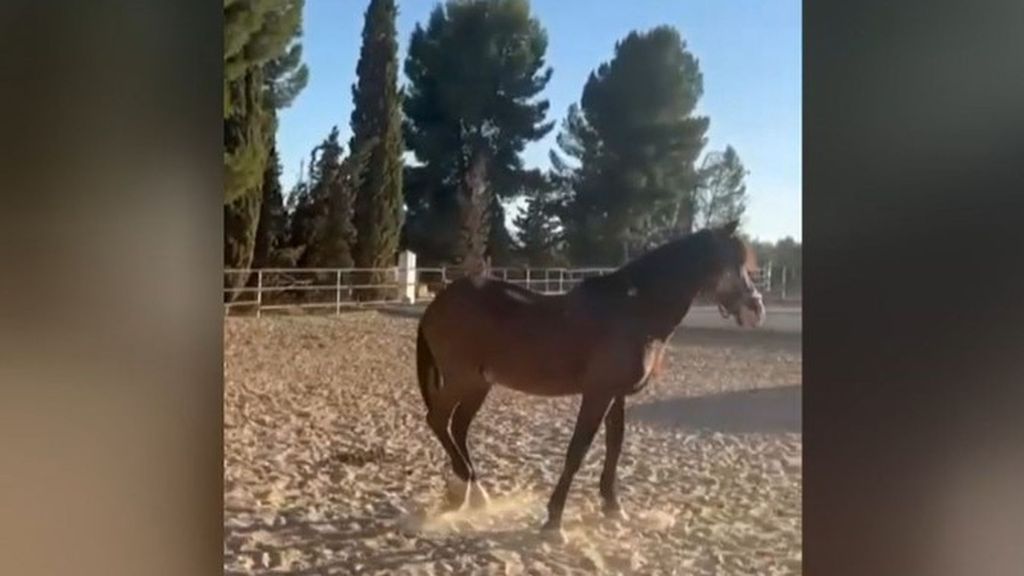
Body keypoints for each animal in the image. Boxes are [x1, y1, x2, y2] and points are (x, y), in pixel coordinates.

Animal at [414, 220, 765, 540]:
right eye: (728, 262)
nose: (756, 309)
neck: (633, 310)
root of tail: (437, 303)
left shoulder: (617, 395)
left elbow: (615, 446)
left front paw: (613, 507)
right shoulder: (597, 394)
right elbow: (578, 450)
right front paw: (554, 521)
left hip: (480, 384)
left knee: (458, 427)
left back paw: (473, 492)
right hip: (461, 380)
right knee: (438, 420)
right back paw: (466, 486)